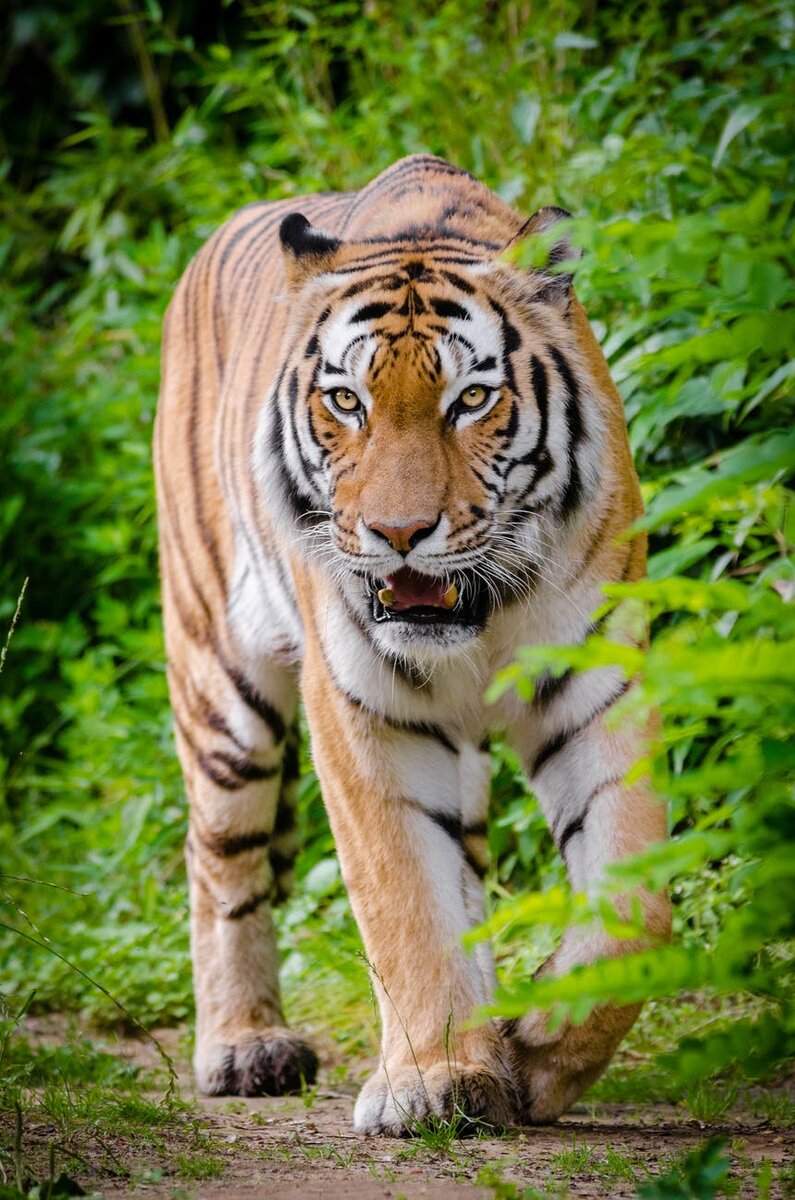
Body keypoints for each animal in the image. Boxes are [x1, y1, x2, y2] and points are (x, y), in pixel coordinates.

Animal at [156, 152, 672, 1132]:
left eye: (470, 399)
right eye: (345, 401)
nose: (398, 534)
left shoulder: (596, 684)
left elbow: (633, 902)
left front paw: (534, 1054)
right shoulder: (365, 709)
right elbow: (402, 898)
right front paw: (434, 1080)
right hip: (222, 685)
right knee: (221, 861)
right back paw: (245, 1047)